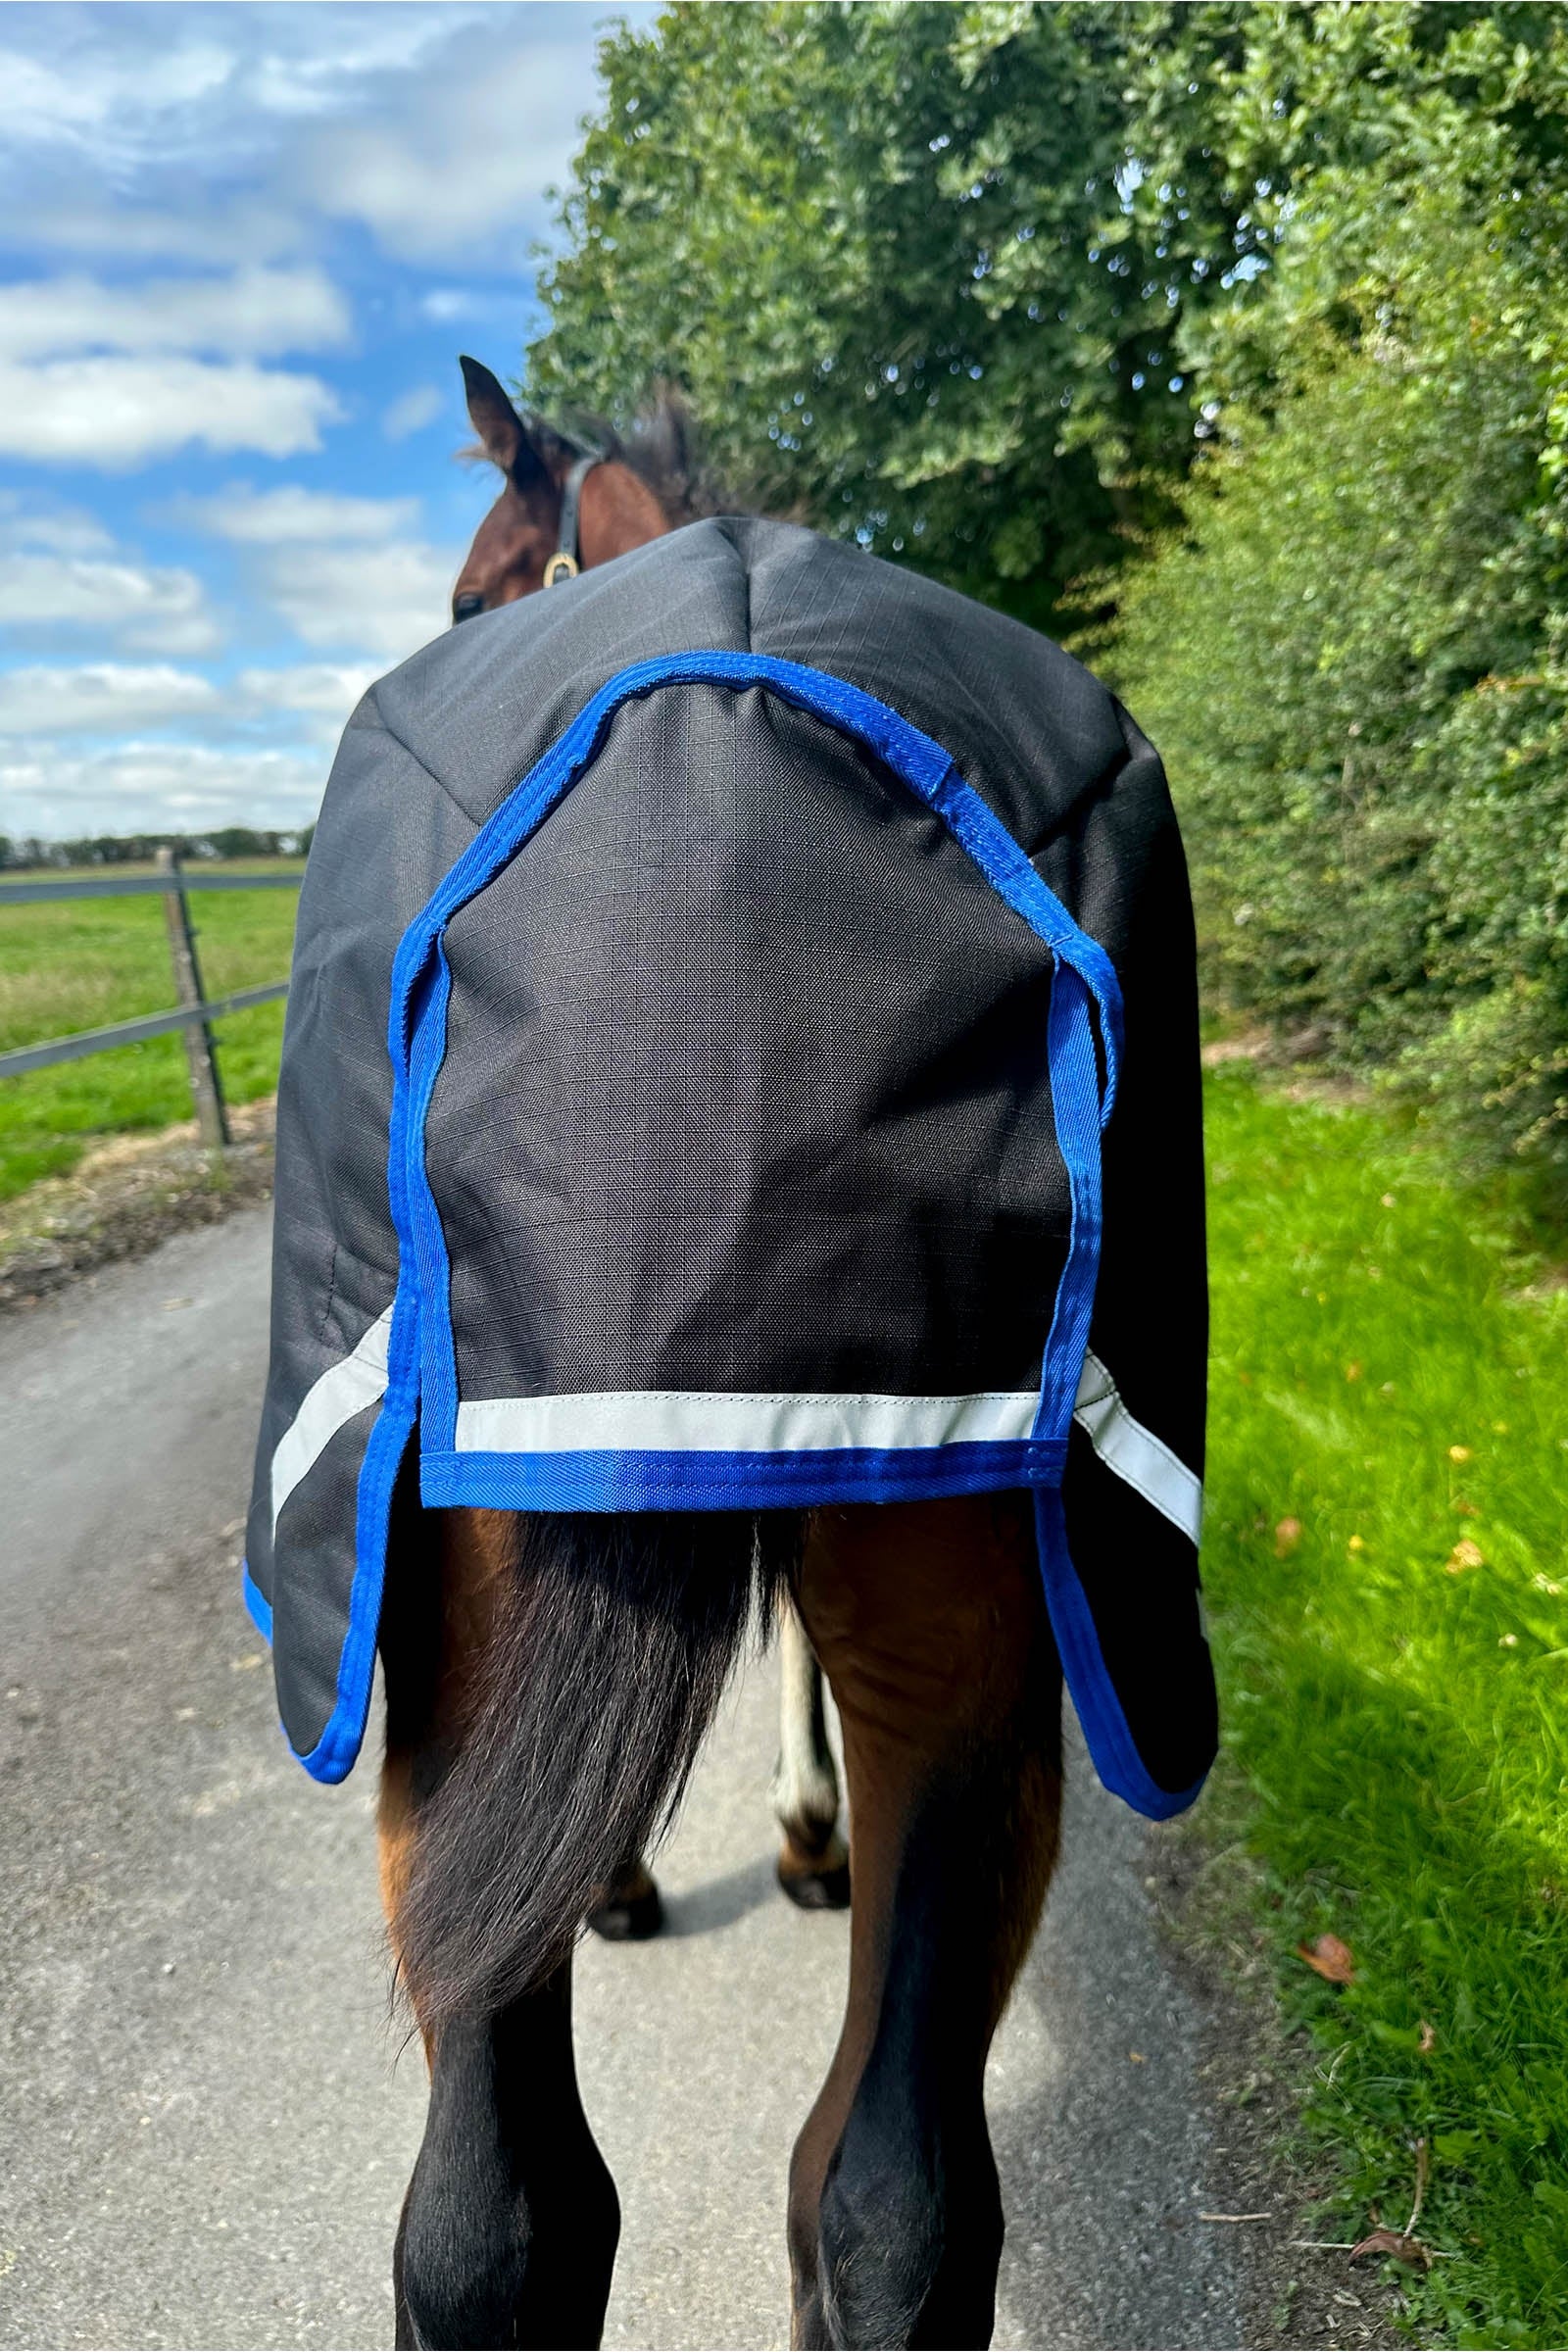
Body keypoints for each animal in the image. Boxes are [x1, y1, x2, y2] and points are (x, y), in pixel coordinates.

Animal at [253, 354, 1214, 2348]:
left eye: (470, 587)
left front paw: (716, 1852)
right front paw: (794, 1828)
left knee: (542, 2216)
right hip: (962, 1659)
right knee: (876, 2210)